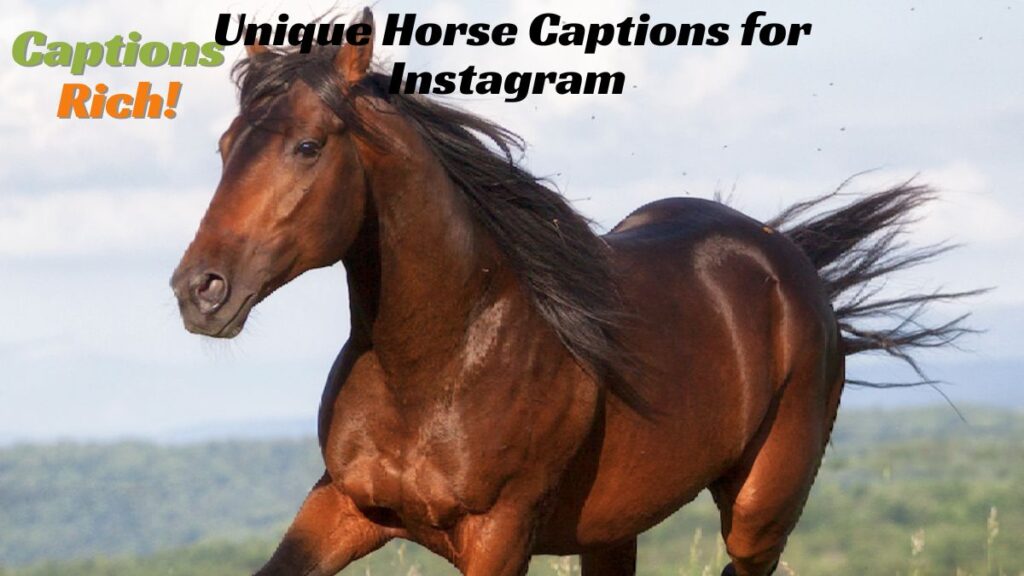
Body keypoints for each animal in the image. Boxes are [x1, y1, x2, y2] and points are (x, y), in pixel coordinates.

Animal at [171, 9, 977, 575]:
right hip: (616, 526)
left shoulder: (499, 533)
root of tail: (787, 257)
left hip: (761, 509)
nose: (198, 291)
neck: (440, 359)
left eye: (307, 146)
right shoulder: (344, 504)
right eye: (225, 146)